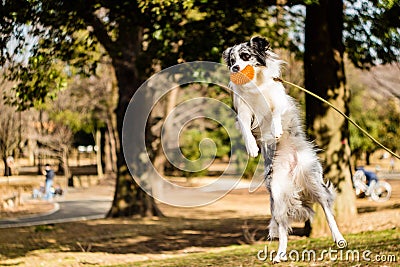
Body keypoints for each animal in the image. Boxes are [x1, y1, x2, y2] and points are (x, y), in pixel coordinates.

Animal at [223, 36, 346, 264]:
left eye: (245, 56)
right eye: (232, 59)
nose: (235, 68)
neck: (257, 84)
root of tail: (293, 173)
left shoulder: (280, 100)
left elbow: (276, 112)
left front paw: (276, 129)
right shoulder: (243, 110)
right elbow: (245, 126)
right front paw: (252, 147)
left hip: (314, 182)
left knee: (327, 211)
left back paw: (339, 238)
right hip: (278, 193)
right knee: (282, 228)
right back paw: (280, 254)